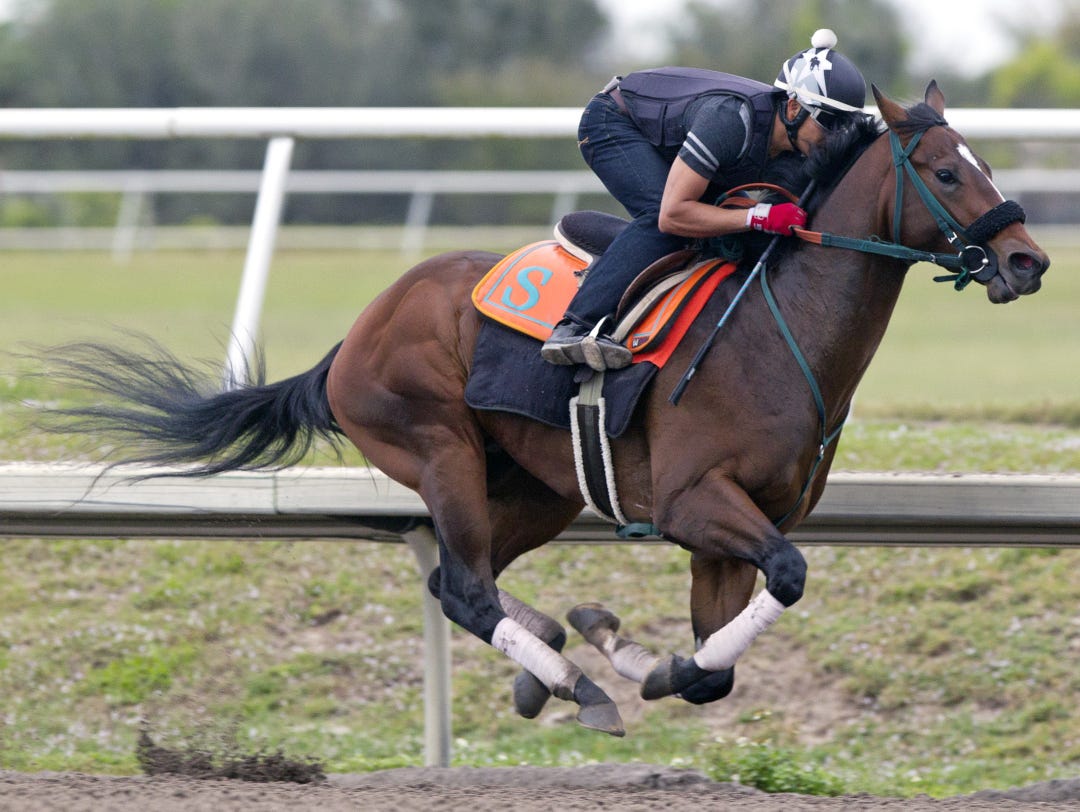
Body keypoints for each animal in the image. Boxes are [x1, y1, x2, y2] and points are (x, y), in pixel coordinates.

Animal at [37, 83, 1048, 737]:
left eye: (985, 162)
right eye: (946, 172)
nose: (1028, 261)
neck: (777, 329)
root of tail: (357, 332)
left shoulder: (728, 533)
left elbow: (714, 668)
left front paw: (631, 649)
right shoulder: (694, 504)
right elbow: (784, 584)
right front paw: (624, 664)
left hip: (536, 486)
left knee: (461, 579)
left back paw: (555, 658)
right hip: (436, 446)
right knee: (465, 586)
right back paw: (572, 682)